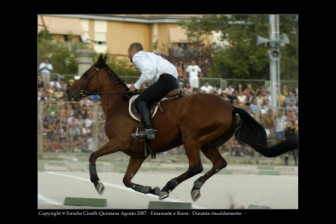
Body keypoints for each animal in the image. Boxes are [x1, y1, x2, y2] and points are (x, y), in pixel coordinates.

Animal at [66, 54, 300, 201]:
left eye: (85, 74)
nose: (69, 92)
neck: (118, 105)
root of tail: (230, 106)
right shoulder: (137, 155)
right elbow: (126, 180)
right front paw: (149, 189)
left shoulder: (118, 142)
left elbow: (93, 156)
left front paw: (97, 183)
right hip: (208, 143)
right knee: (219, 164)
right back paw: (192, 187)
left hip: (191, 138)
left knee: (196, 166)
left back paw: (169, 187)